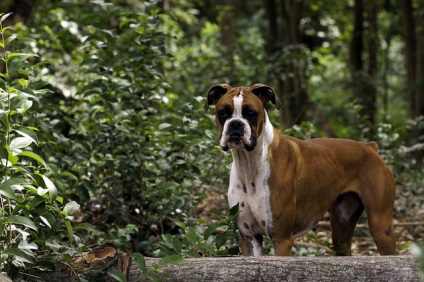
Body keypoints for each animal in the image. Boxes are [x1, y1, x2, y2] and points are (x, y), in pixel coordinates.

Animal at [205, 83, 398, 256]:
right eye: (223, 112)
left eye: (251, 113)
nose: (236, 124)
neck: (249, 162)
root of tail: (370, 147)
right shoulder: (250, 238)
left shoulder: (281, 239)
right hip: (341, 229)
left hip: (381, 226)